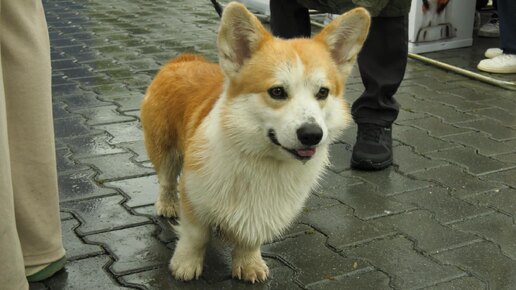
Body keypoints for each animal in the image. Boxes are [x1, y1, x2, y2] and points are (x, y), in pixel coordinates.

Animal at [139, 1, 368, 284]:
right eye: (277, 92)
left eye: (323, 92)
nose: (312, 134)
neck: (263, 157)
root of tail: (184, 59)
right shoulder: (195, 193)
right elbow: (195, 236)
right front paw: (186, 265)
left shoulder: (264, 211)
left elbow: (250, 239)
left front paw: (248, 264)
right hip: (165, 149)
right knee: (167, 180)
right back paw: (167, 204)